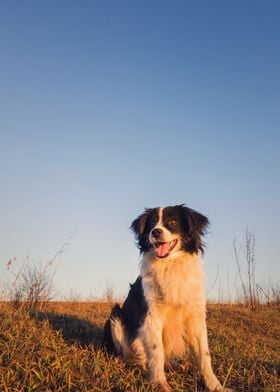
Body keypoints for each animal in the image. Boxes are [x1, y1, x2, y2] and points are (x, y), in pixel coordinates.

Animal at [104, 204, 224, 390]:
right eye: (152, 223)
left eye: (173, 222)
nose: (156, 232)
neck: (170, 266)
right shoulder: (151, 317)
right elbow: (156, 352)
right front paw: (160, 383)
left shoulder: (196, 316)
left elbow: (204, 355)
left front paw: (215, 385)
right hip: (115, 315)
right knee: (129, 353)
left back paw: (175, 365)